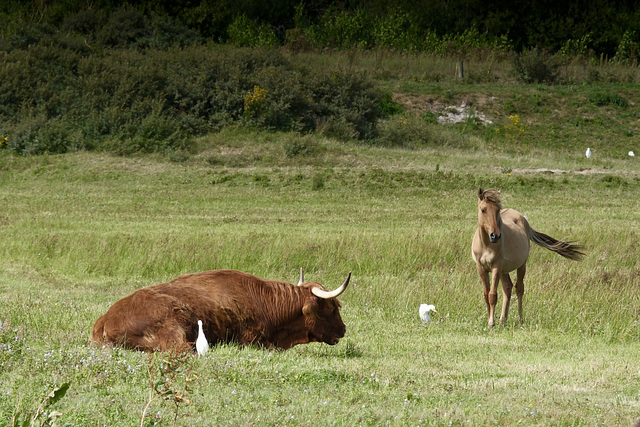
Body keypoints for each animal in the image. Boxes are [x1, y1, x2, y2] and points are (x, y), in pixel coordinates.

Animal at [470, 188, 584, 328]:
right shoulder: (481, 268)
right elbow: (486, 295)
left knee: (519, 288)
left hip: (520, 266)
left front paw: (491, 323)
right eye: (483, 210)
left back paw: (520, 319)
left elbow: (492, 295)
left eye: (498, 210)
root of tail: (523, 219)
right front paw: (489, 320)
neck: (487, 245)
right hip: (504, 270)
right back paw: (503, 320)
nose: (495, 236)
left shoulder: (496, 267)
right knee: (507, 288)